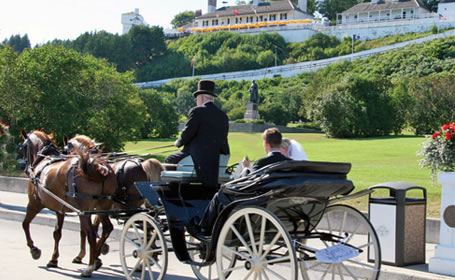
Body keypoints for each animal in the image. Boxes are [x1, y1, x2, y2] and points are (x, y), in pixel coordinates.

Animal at [20, 130, 118, 278]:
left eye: (24, 147)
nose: (25, 167)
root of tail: (98, 168)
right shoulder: (60, 209)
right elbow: (57, 233)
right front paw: (54, 259)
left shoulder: (34, 204)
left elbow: (25, 224)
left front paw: (34, 249)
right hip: (102, 207)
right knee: (106, 228)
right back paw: (95, 257)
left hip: (84, 211)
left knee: (91, 233)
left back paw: (89, 267)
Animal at [62, 135, 164, 264]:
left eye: (65, 150)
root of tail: (142, 164)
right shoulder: (100, 207)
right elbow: (96, 226)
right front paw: (98, 251)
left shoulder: (89, 207)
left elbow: (86, 229)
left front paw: (85, 255)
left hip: (130, 205)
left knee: (147, 225)